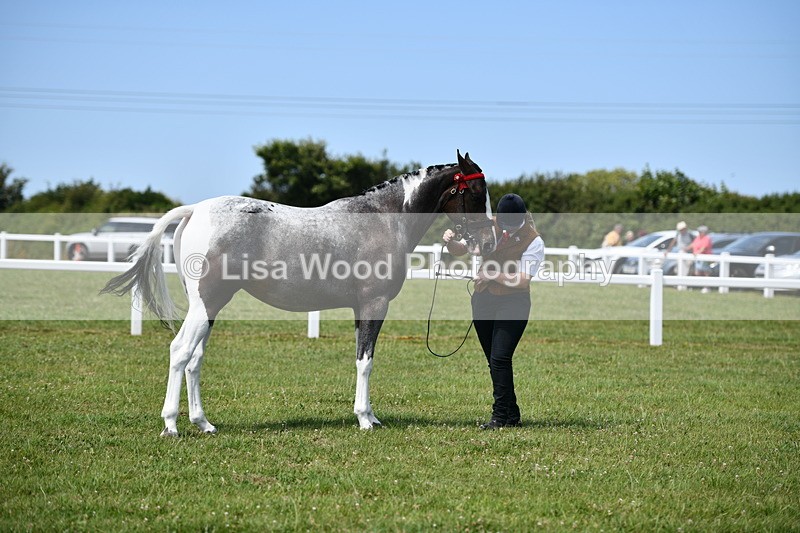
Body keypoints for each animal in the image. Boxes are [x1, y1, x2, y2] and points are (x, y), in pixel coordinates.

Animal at [102, 150, 496, 436]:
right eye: (477, 194)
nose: (490, 242)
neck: (384, 219)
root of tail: (195, 210)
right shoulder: (374, 304)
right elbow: (366, 362)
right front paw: (365, 419)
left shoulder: (360, 309)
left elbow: (360, 358)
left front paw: (369, 415)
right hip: (207, 303)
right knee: (181, 351)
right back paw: (171, 425)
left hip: (208, 308)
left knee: (195, 358)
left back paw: (203, 423)